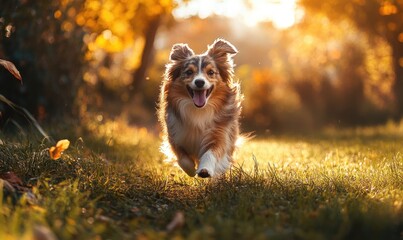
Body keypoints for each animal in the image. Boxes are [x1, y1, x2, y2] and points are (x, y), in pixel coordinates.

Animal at [159, 38, 243, 177]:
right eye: (189, 72)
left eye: (211, 72)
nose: (199, 82)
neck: (199, 110)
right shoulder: (175, 134)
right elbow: (182, 157)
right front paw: (191, 170)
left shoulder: (219, 134)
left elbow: (211, 152)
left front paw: (204, 169)